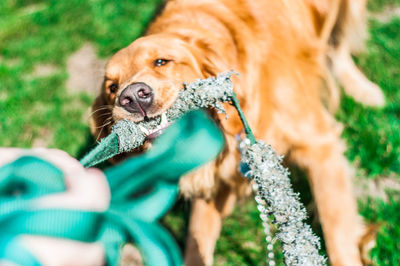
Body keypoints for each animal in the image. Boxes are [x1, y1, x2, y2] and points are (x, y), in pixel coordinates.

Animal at [90, 0, 384, 264]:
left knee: (340, 44)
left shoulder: (319, 147)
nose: (132, 97)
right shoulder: (215, 181)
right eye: (112, 88)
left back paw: (364, 90)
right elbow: (197, 243)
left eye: (161, 62)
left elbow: (338, 238)